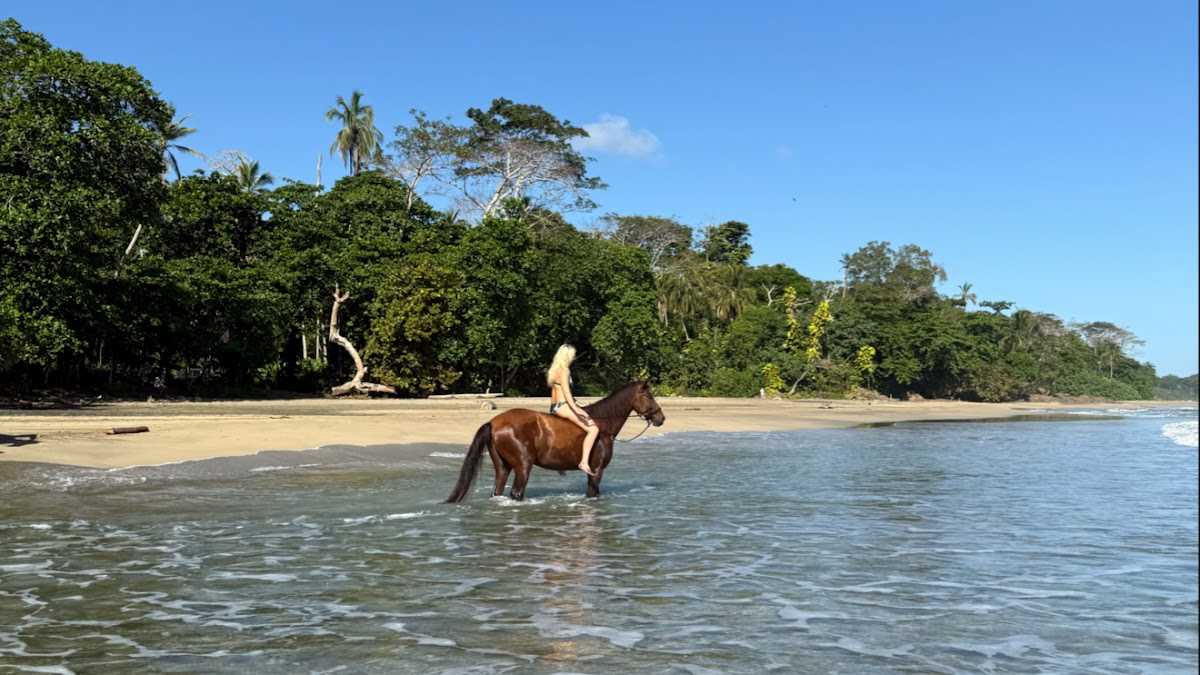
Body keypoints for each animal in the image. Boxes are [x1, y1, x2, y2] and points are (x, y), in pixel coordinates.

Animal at [446, 380, 665, 502]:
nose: (661, 418)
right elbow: (592, 493)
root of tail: (493, 422)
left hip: (503, 467)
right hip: (523, 467)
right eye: (649, 395)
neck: (603, 425)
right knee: (517, 493)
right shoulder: (596, 470)